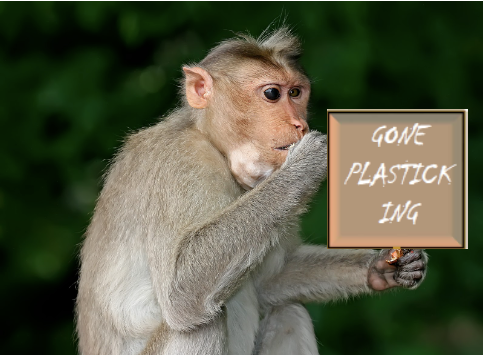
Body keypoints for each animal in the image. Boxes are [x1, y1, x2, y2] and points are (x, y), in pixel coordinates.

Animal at [75, 28, 428, 355]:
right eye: (272, 93)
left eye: (296, 93)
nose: (299, 124)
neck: (216, 147)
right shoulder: (180, 163)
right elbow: (181, 289)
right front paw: (307, 162)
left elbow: (270, 281)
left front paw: (381, 267)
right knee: (200, 321)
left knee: (289, 313)